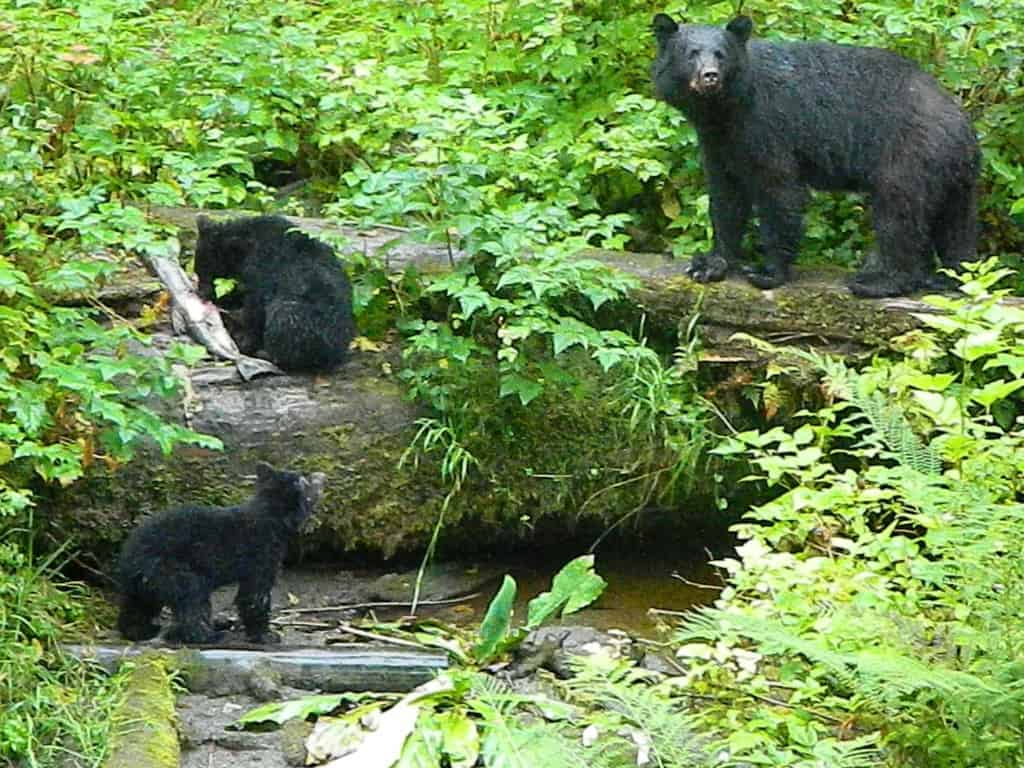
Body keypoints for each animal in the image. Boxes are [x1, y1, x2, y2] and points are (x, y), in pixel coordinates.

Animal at [116, 462, 327, 645]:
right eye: (306, 482)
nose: (321, 475)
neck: (270, 514)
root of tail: (128, 559)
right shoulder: (262, 553)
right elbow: (254, 595)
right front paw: (267, 635)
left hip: (144, 583)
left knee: (138, 607)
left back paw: (141, 630)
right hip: (170, 569)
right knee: (192, 598)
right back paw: (210, 635)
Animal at [194, 214, 356, 371]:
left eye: (212, 277)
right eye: (198, 272)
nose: (200, 293)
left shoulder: (262, 273)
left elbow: (254, 311)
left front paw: (243, 340)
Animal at [651, 14, 980, 298]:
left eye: (721, 54)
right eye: (691, 53)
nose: (710, 77)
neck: (724, 110)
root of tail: (963, 124)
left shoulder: (766, 127)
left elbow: (780, 191)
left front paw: (768, 272)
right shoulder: (720, 144)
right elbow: (726, 198)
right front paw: (710, 263)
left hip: (910, 156)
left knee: (898, 215)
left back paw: (879, 282)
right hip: (951, 174)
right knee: (955, 224)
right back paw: (950, 277)